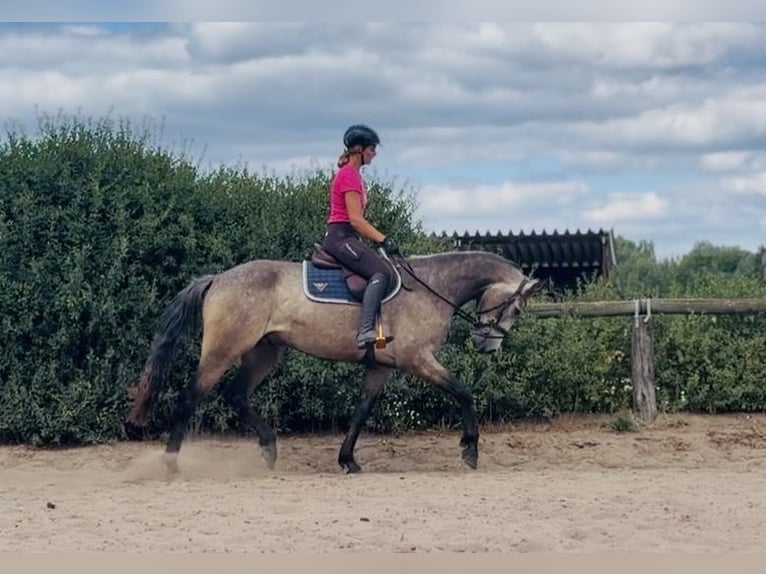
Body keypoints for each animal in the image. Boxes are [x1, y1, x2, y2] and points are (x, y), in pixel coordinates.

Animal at [125, 247, 542, 474]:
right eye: (517, 308)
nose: (487, 344)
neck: (431, 287)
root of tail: (218, 278)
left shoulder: (380, 367)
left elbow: (361, 410)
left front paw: (348, 460)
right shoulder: (418, 359)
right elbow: (463, 392)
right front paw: (470, 450)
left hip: (264, 352)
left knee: (236, 395)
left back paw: (269, 448)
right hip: (221, 351)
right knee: (189, 398)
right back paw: (172, 464)